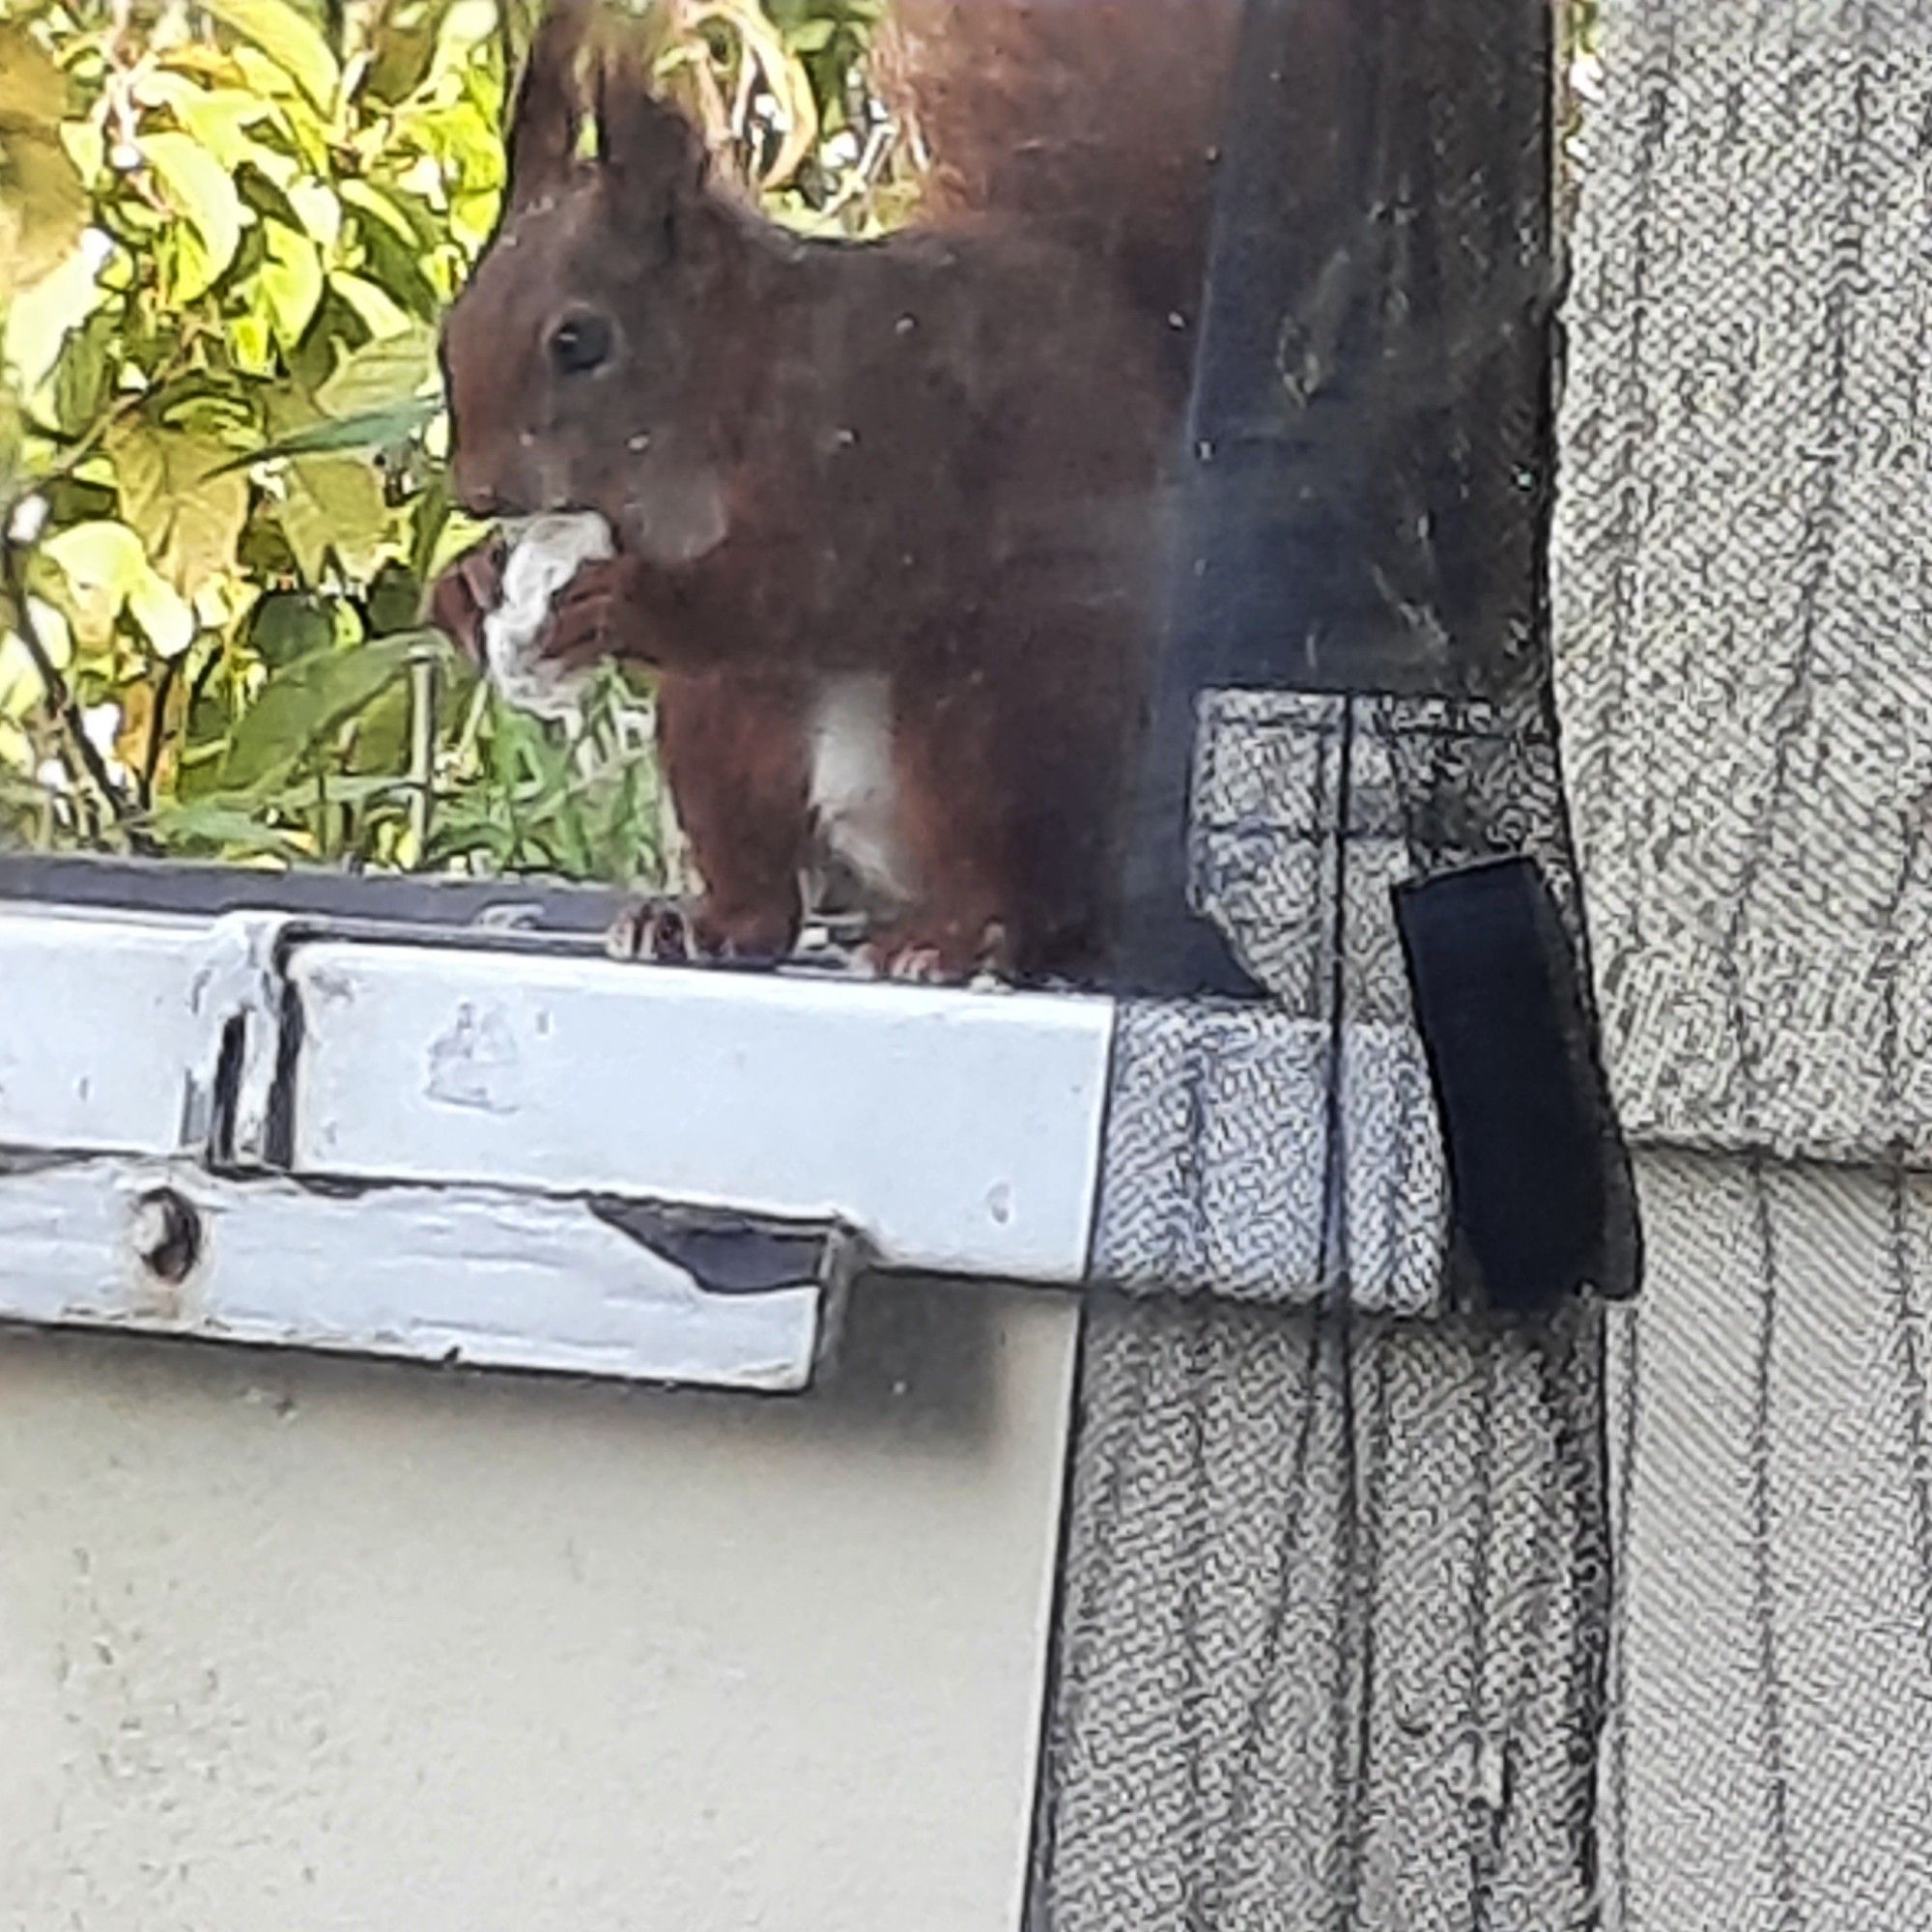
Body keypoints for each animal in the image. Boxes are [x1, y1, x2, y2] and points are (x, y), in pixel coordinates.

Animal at [429, 0, 1236, 981]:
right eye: (452, 327)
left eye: (578, 341)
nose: (478, 495)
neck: (724, 383)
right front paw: (470, 589)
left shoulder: (876, 440)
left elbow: (812, 588)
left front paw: (621, 602)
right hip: (727, 725)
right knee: (764, 880)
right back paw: (705, 924)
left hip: (1000, 716)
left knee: (1023, 892)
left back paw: (952, 937)